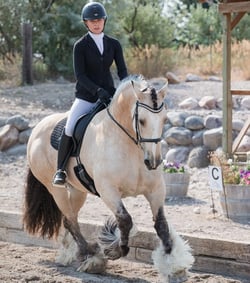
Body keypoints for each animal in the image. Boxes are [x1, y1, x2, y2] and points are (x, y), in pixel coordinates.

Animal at [23, 75, 193, 282]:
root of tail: (37, 128)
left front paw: (175, 267)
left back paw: (71, 254)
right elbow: (125, 220)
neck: (130, 145)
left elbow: (161, 225)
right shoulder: (108, 190)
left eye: (164, 119)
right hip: (56, 189)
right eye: (141, 121)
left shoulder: (155, 190)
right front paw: (114, 249)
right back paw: (91, 257)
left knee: (70, 220)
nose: (153, 162)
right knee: (70, 220)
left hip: (78, 191)